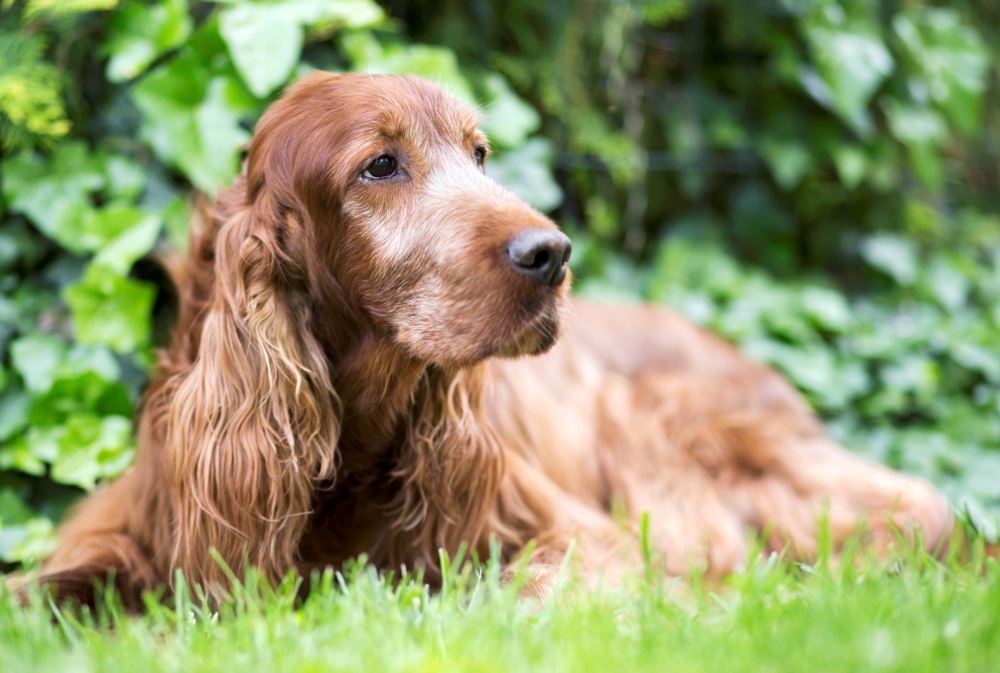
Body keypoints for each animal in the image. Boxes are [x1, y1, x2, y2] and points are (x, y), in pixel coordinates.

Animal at [29, 72, 952, 604]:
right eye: (380, 165)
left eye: (478, 154)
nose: (552, 254)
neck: (350, 443)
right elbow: (47, 591)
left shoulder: (583, 536)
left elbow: (518, 588)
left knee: (914, 515)